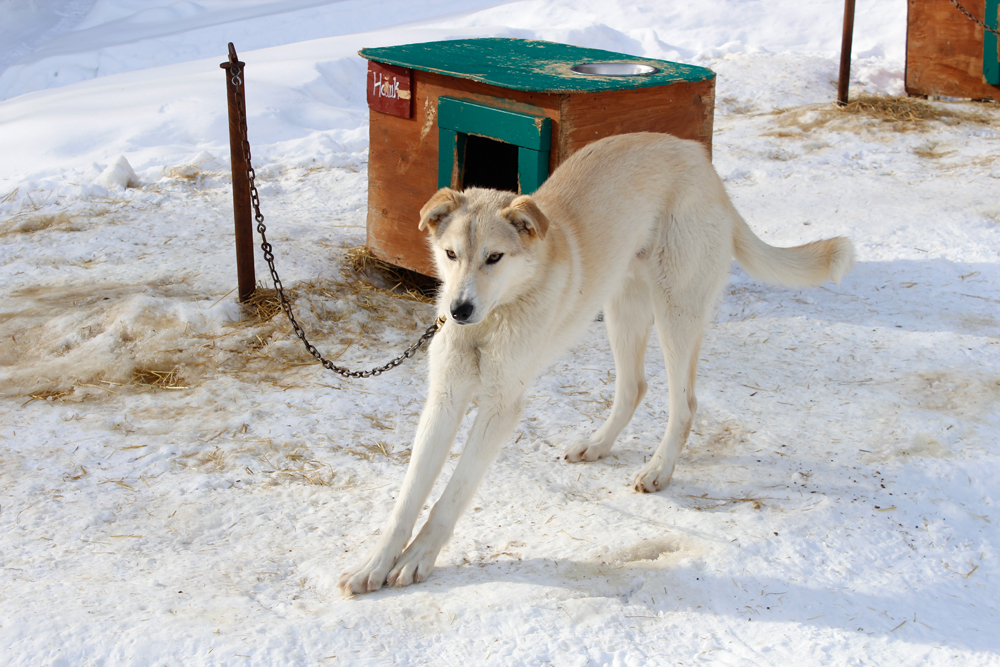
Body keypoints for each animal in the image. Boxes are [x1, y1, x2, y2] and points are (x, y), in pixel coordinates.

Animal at [336, 130, 852, 596]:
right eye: (450, 254)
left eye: (494, 258)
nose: (459, 310)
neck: (491, 323)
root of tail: (696, 156)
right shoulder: (444, 400)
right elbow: (409, 497)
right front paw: (376, 564)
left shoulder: (500, 409)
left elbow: (452, 495)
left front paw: (418, 559)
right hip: (622, 311)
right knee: (634, 387)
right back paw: (597, 445)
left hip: (676, 313)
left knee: (683, 402)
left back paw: (658, 470)